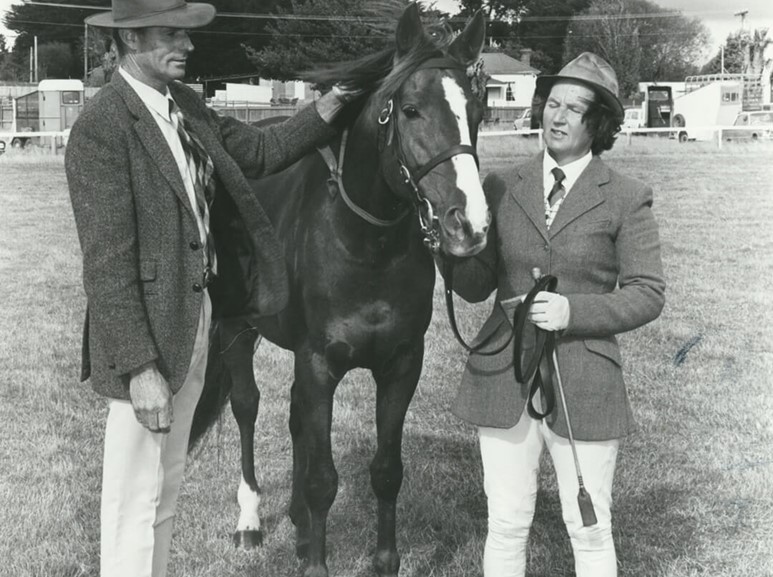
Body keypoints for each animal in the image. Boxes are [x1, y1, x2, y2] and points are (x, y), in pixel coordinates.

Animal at [190, 5, 488, 576]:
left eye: (478, 112)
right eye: (411, 110)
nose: (470, 225)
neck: (365, 245)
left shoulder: (400, 365)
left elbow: (387, 470)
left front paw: (382, 560)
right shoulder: (320, 364)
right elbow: (323, 479)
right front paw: (316, 562)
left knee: (292, 416)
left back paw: (298, 525)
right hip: (236, 330)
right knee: (247, 406)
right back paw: (251, 521)